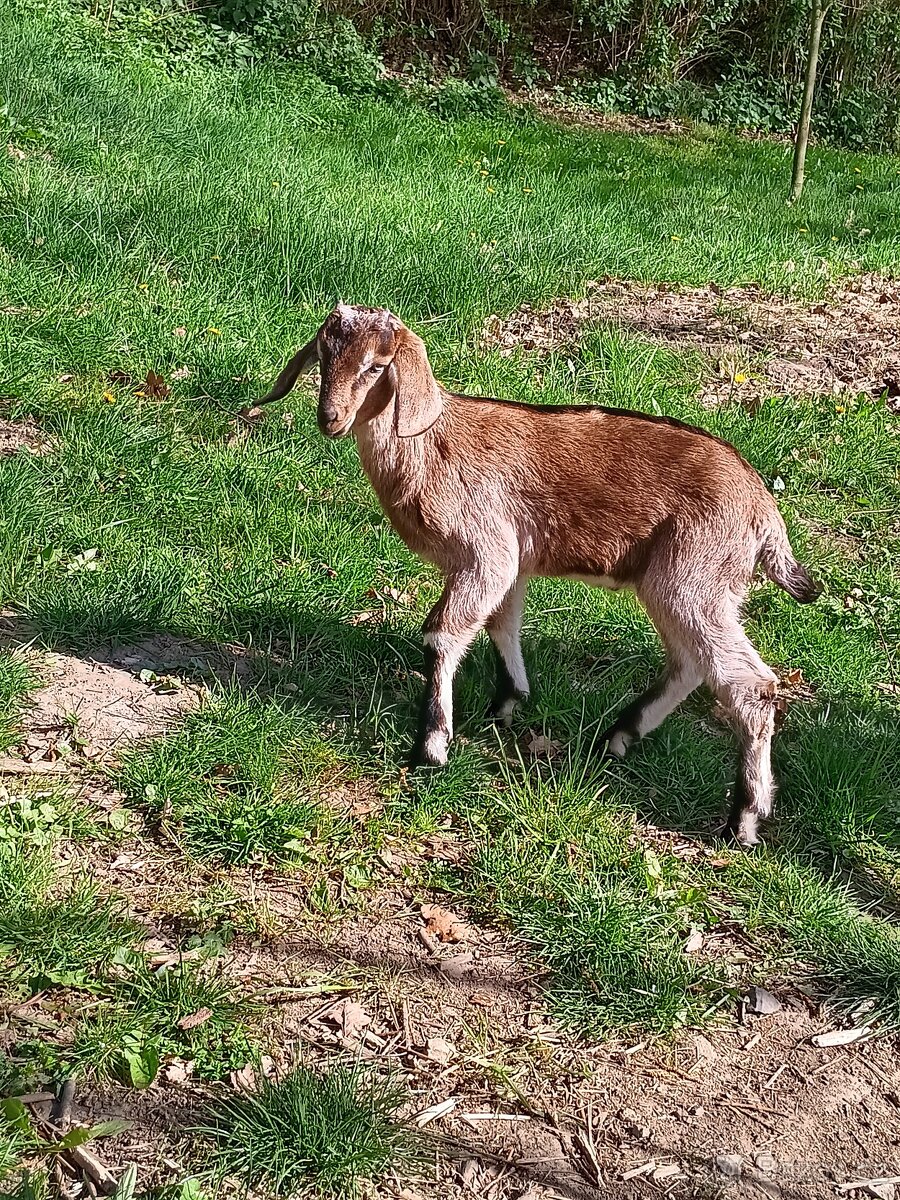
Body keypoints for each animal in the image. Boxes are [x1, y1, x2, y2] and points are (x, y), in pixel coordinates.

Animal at [256, 302, 820, 844]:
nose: (330, 417)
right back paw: (619, 737)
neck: (429, 447)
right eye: (323, 356)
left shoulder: (486, 550)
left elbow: (442, 635)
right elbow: (502, 625)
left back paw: (743, 819)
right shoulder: (512, 561)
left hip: (693, 577)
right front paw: (507, 705)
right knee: (691, 663)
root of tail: (764, 511)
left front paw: (432, 747)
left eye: (377, 365)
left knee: (750, 686)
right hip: (691, 586)